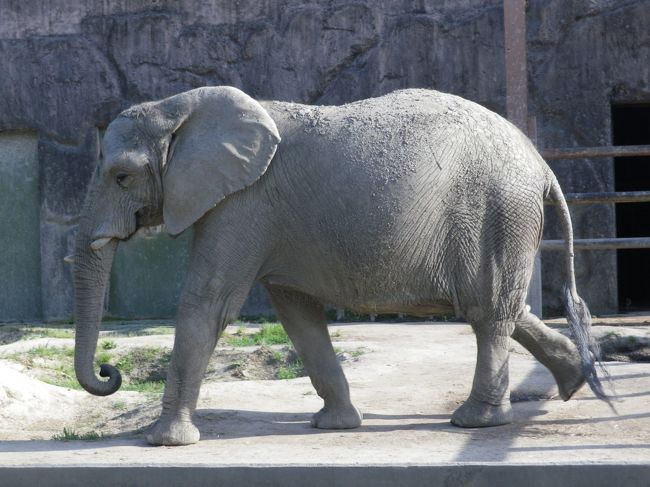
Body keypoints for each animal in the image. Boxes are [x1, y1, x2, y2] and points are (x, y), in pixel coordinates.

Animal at [73, 86, 604, 446]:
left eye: (121, 177)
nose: (108, 372)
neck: (179, 107)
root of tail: (542, 163)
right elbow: (296, 313)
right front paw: (336, 425)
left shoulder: (243, 204)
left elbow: (208, 301)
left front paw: (163, 441)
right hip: (505, 220)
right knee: (507, 307)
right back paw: (573, 381)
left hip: (497, 210)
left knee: (487, 311)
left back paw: (473, 421)